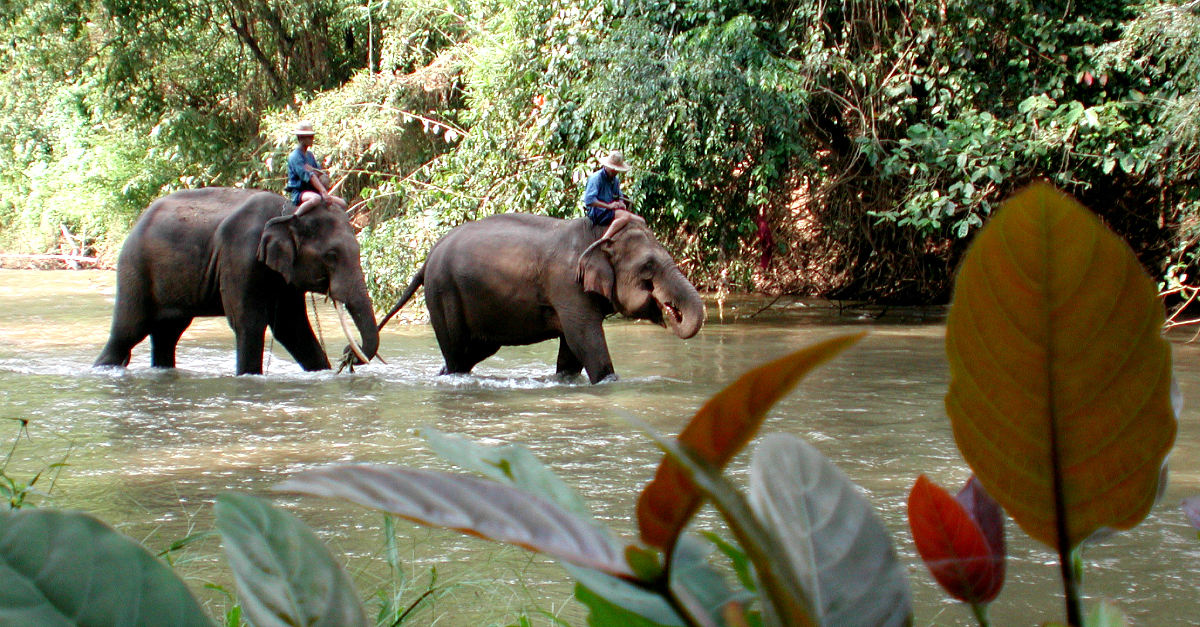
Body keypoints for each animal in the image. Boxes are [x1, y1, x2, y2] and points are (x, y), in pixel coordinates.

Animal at [95, 187, 376, 372]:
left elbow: (292, 326)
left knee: (167, 333)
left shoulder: (284, 274)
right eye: (331, 256)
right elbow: (249, 323)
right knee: (128, 331)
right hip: (135, 268)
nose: (347, 351)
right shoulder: (240, 256)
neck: (289, 211)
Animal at [376, 212, 700, 381]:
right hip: (443, 292)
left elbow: (572, 350)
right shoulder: (568, 285)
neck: (597, 232)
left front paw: (565, 381)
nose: (671, 311)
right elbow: (586, 340)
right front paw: (610, 382)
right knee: (457, 351)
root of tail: (427, 259)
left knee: (473, 352)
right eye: (648, 266)